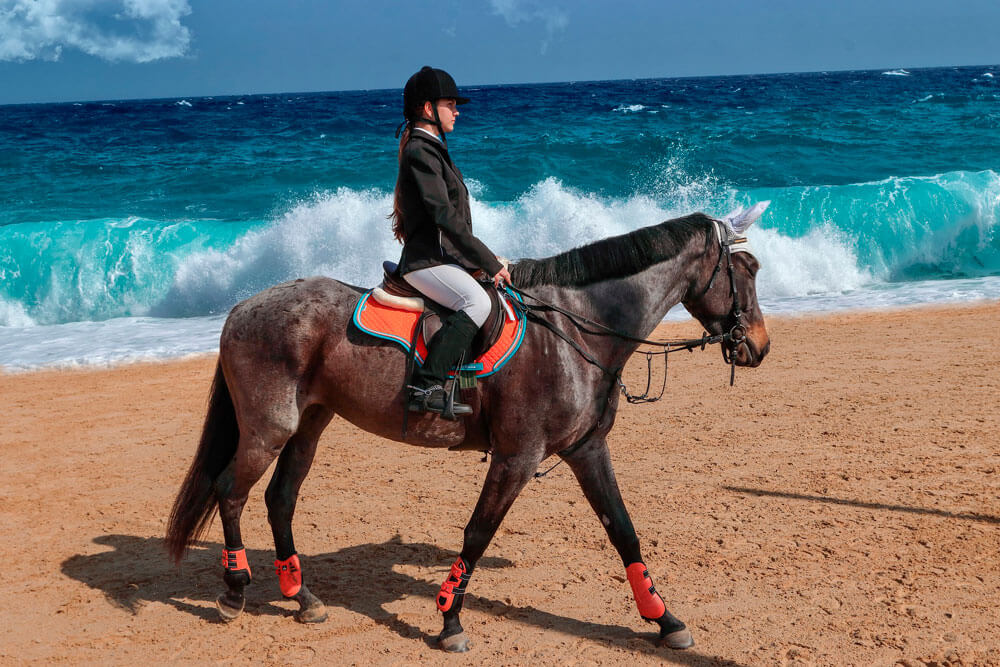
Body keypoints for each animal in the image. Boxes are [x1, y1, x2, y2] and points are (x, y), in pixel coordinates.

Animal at [166, 210, 772, 652]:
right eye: (748, 270)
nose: (760, 347)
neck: (574, 329)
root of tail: (244, 306)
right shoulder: (517, 457)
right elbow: (478, 534)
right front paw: (450, 619)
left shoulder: (586, 449)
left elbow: (623, 531)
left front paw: (665, 619)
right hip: (269, 427)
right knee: (231, 491)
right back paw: (236, 590)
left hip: (309, 426)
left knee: (280, 498)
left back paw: (303, 597)